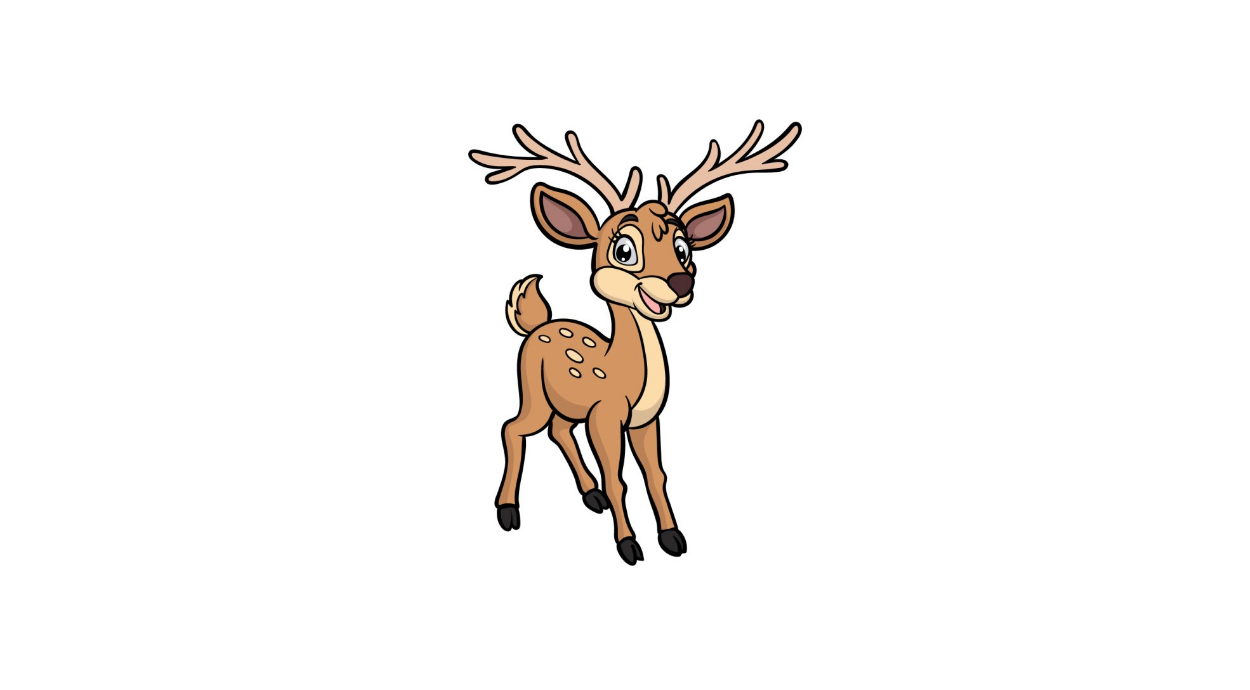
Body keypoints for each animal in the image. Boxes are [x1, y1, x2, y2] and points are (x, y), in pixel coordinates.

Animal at [469, 121, 802, 564]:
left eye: (683, 248)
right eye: (624, 249)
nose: (681, 282)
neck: (624, 376)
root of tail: (537, 323)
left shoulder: (645, 420)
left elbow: (655, 475)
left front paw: (672, 537)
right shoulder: (605, 417)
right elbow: (618, 478)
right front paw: (628, 545)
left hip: (566, 406)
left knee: (559, 431)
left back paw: (589, 495)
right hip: (532, 392)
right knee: (513, 428)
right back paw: (508, 511)